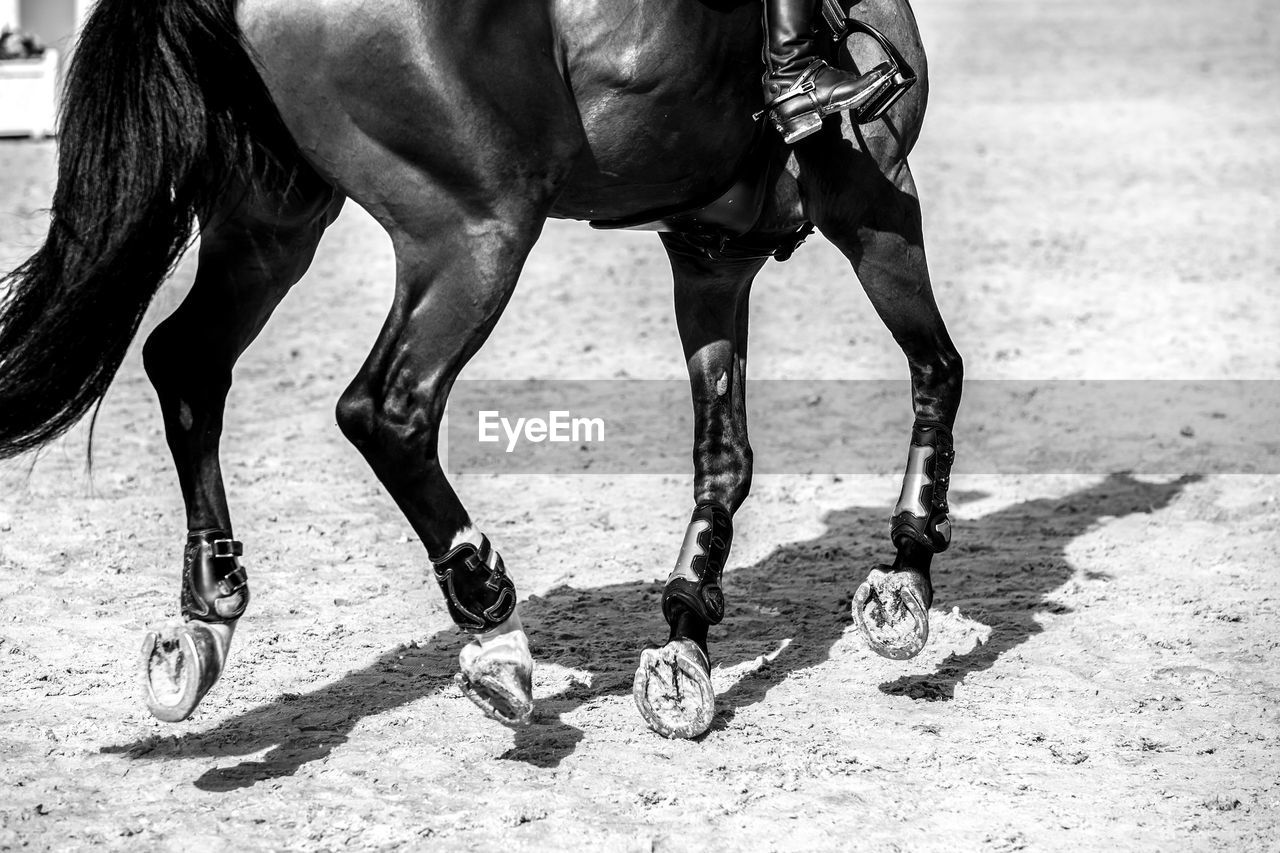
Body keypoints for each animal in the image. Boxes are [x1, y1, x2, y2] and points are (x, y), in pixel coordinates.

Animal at [0, 0, 962, 737]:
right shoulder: (870, 197)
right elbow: (939, 369)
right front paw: (908, 573)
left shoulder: (712, 254)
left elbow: (723, 458)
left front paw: (686, 636)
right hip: (476, 225)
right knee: (385, 408)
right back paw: (491, 619)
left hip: (275, 220)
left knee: (187, 364)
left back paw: (207, 614)